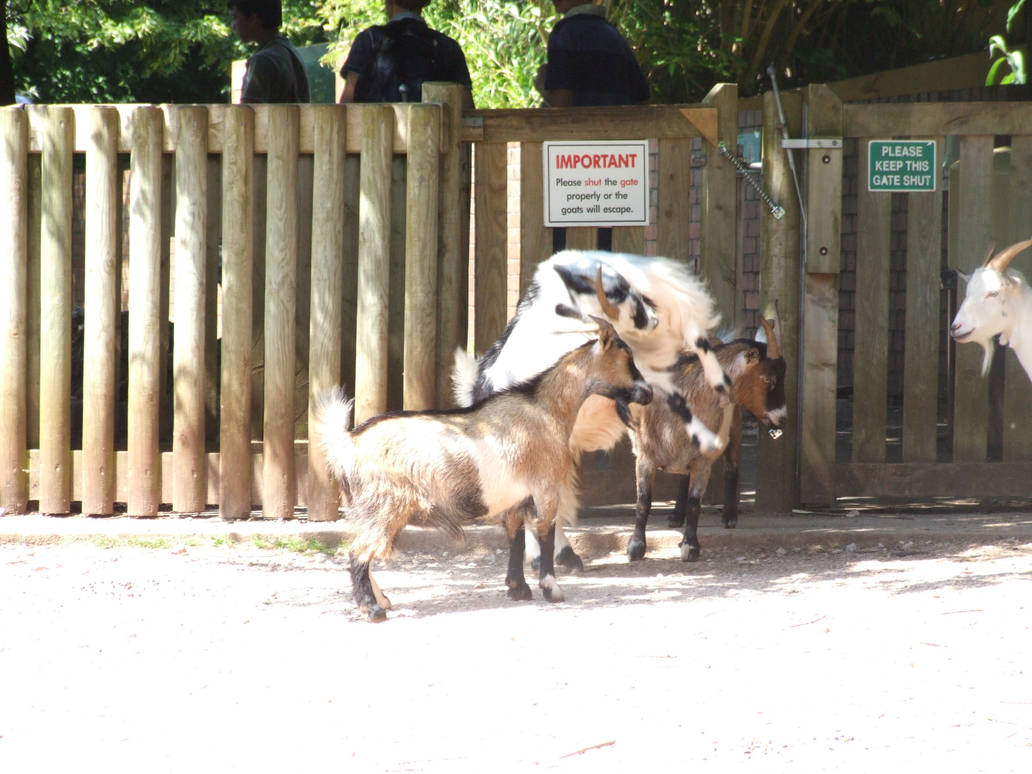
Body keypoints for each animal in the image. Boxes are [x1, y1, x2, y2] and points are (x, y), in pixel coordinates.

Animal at [312, 318, 653, 622]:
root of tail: (348, 442)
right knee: (358, 552)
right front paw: (552, 589)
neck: (546, 410)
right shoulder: (545, 489)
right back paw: (373, 610)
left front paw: (518, 589)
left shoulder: (516, 499)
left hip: (366, 508)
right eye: (627, 356)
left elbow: (516, 538)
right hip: (385, 504)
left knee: (361, 549)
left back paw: (382, 599)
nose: (648, 393)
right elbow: (545, 533)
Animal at [626, 318, 787, 563]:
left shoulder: (703, 460)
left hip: (734, 426)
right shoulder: (645, 456)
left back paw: (729, 517)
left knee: (732, 467)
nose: (782, 418)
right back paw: (676, 516)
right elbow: (643, 500)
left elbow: (695, 502)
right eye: (767, 378)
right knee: (684, 475)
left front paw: (690, 546)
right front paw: (636, 546)